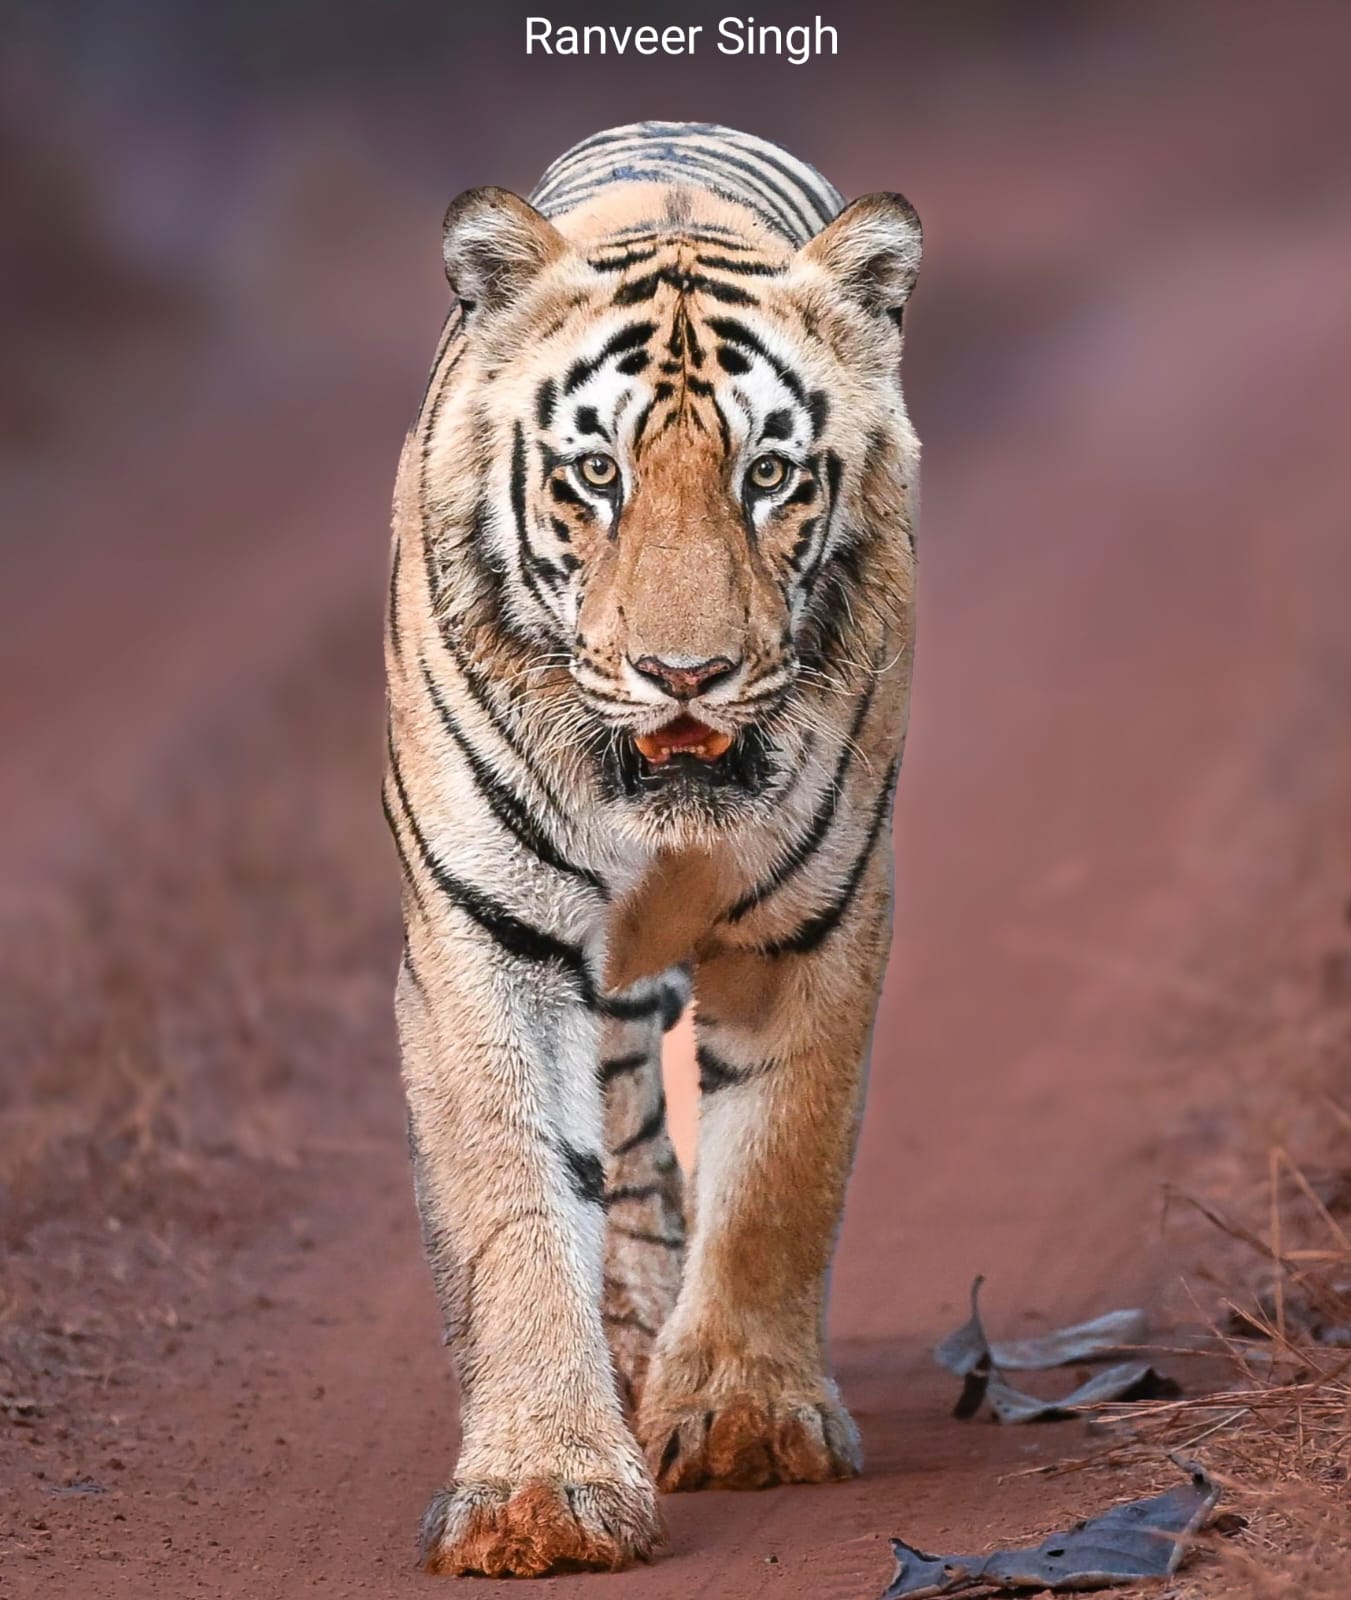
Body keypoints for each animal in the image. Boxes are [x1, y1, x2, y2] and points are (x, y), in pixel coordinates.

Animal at [383, 120, 921, 1577]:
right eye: (595, 476)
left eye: (768, 475)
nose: (685, 676)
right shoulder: (487, 937)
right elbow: (517, 1203)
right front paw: (538, 1497)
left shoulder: (819, 919)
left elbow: (782, 1164)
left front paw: (745, 1416)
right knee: (618, 1135)